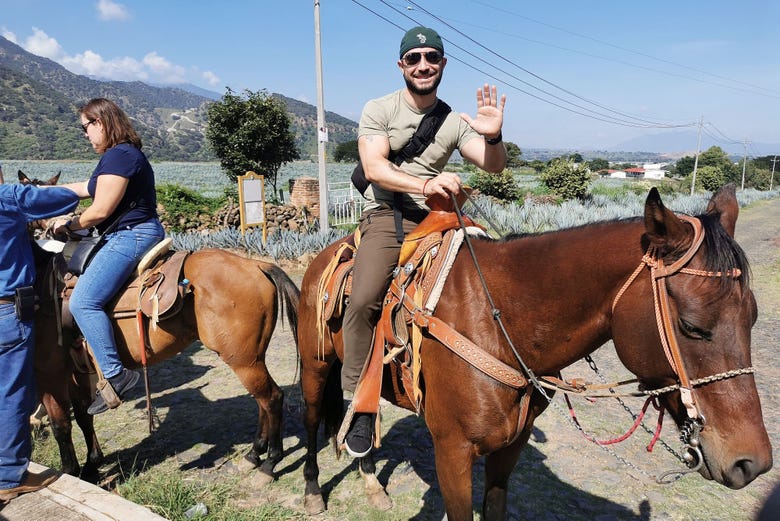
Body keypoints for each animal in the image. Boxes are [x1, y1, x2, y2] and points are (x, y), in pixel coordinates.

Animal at [298, 186, 772, 520]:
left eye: (753, 316)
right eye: (692, 326)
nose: (752, 463)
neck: (495, 321)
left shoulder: (510, 448)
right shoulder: (451, 453)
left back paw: (371, 483)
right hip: (316, 368)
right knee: (312, 423)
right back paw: (312, 493)